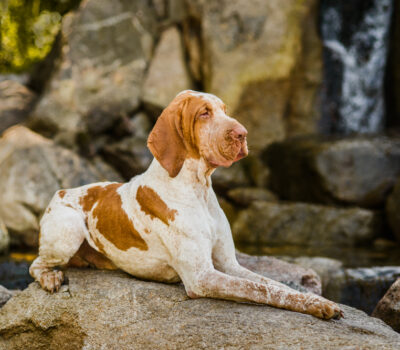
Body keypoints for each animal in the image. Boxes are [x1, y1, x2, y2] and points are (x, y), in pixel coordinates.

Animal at [29, 90, 342, 320]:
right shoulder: (202, 277)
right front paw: (316, 305)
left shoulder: (228, 263)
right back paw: (50, 278)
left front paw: (316, 299)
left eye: (225, 110)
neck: (198, 190)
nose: (242, 133)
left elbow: (273, 285)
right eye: (204, 113)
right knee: (35, 265)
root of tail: (61, 191)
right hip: (67, 231)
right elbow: (260, 290)